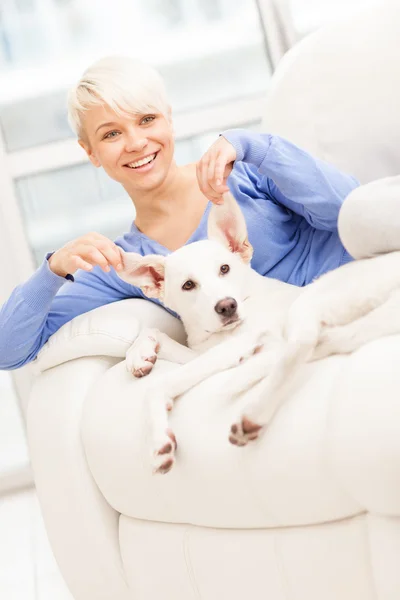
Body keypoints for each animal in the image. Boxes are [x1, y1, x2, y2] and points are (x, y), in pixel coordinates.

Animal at [119, 193, 400, 474]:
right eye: (188, 285)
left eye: (224, 269)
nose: (227, 306)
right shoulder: (204, 352)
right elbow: (154, 332)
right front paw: (139, 355)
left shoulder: (228, 349)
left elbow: (158, 385)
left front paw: (158, 440)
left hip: (311, 300)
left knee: (301, 343)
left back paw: (255, 414)